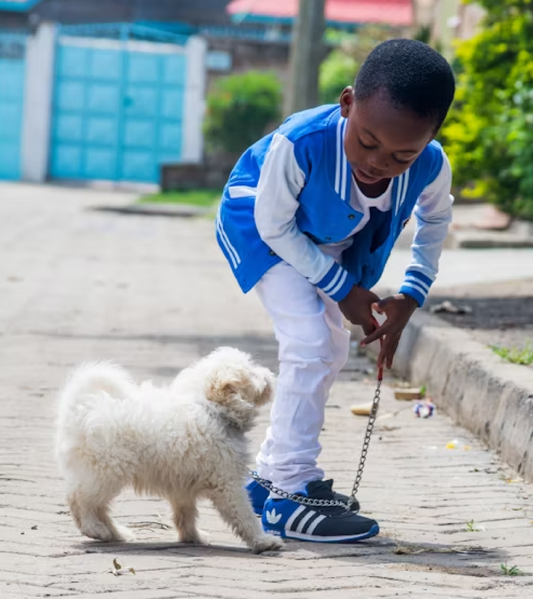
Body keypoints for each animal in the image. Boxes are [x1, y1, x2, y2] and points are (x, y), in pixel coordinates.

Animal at [55, 350, 282, 556]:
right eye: (251, 370)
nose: (270, 374)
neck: (212, 409)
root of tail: (79, 410)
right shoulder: (228, 485)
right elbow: (245, 515)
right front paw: (264, 541)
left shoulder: (182, 486)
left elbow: (185, 514)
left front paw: (192, 537)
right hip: (105, 471)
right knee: (79, 499)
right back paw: (95, 529)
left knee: (97, 507)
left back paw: (115, 533)